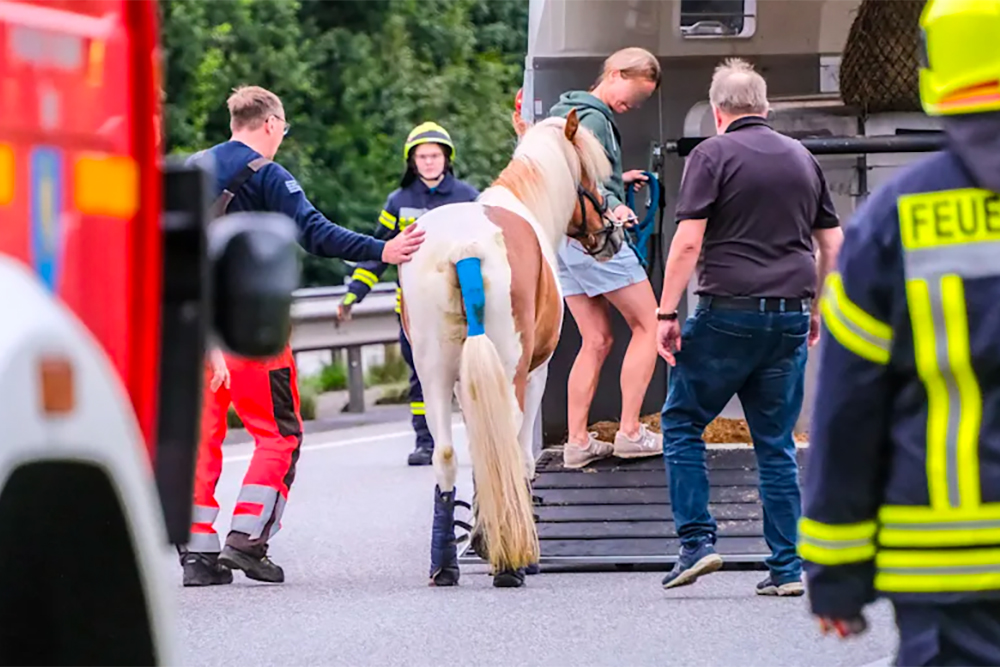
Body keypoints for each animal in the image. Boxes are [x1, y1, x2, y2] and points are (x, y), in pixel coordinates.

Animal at [400, 107, 624, 588]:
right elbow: (520, 456)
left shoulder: (464, 380)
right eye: (590, 176)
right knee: (505, 441)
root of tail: (465, 247)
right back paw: (511, 564)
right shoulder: (536, 373)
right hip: (511, 369)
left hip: (433, 374)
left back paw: (445, 565)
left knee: (447, 455)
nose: (611, 234)